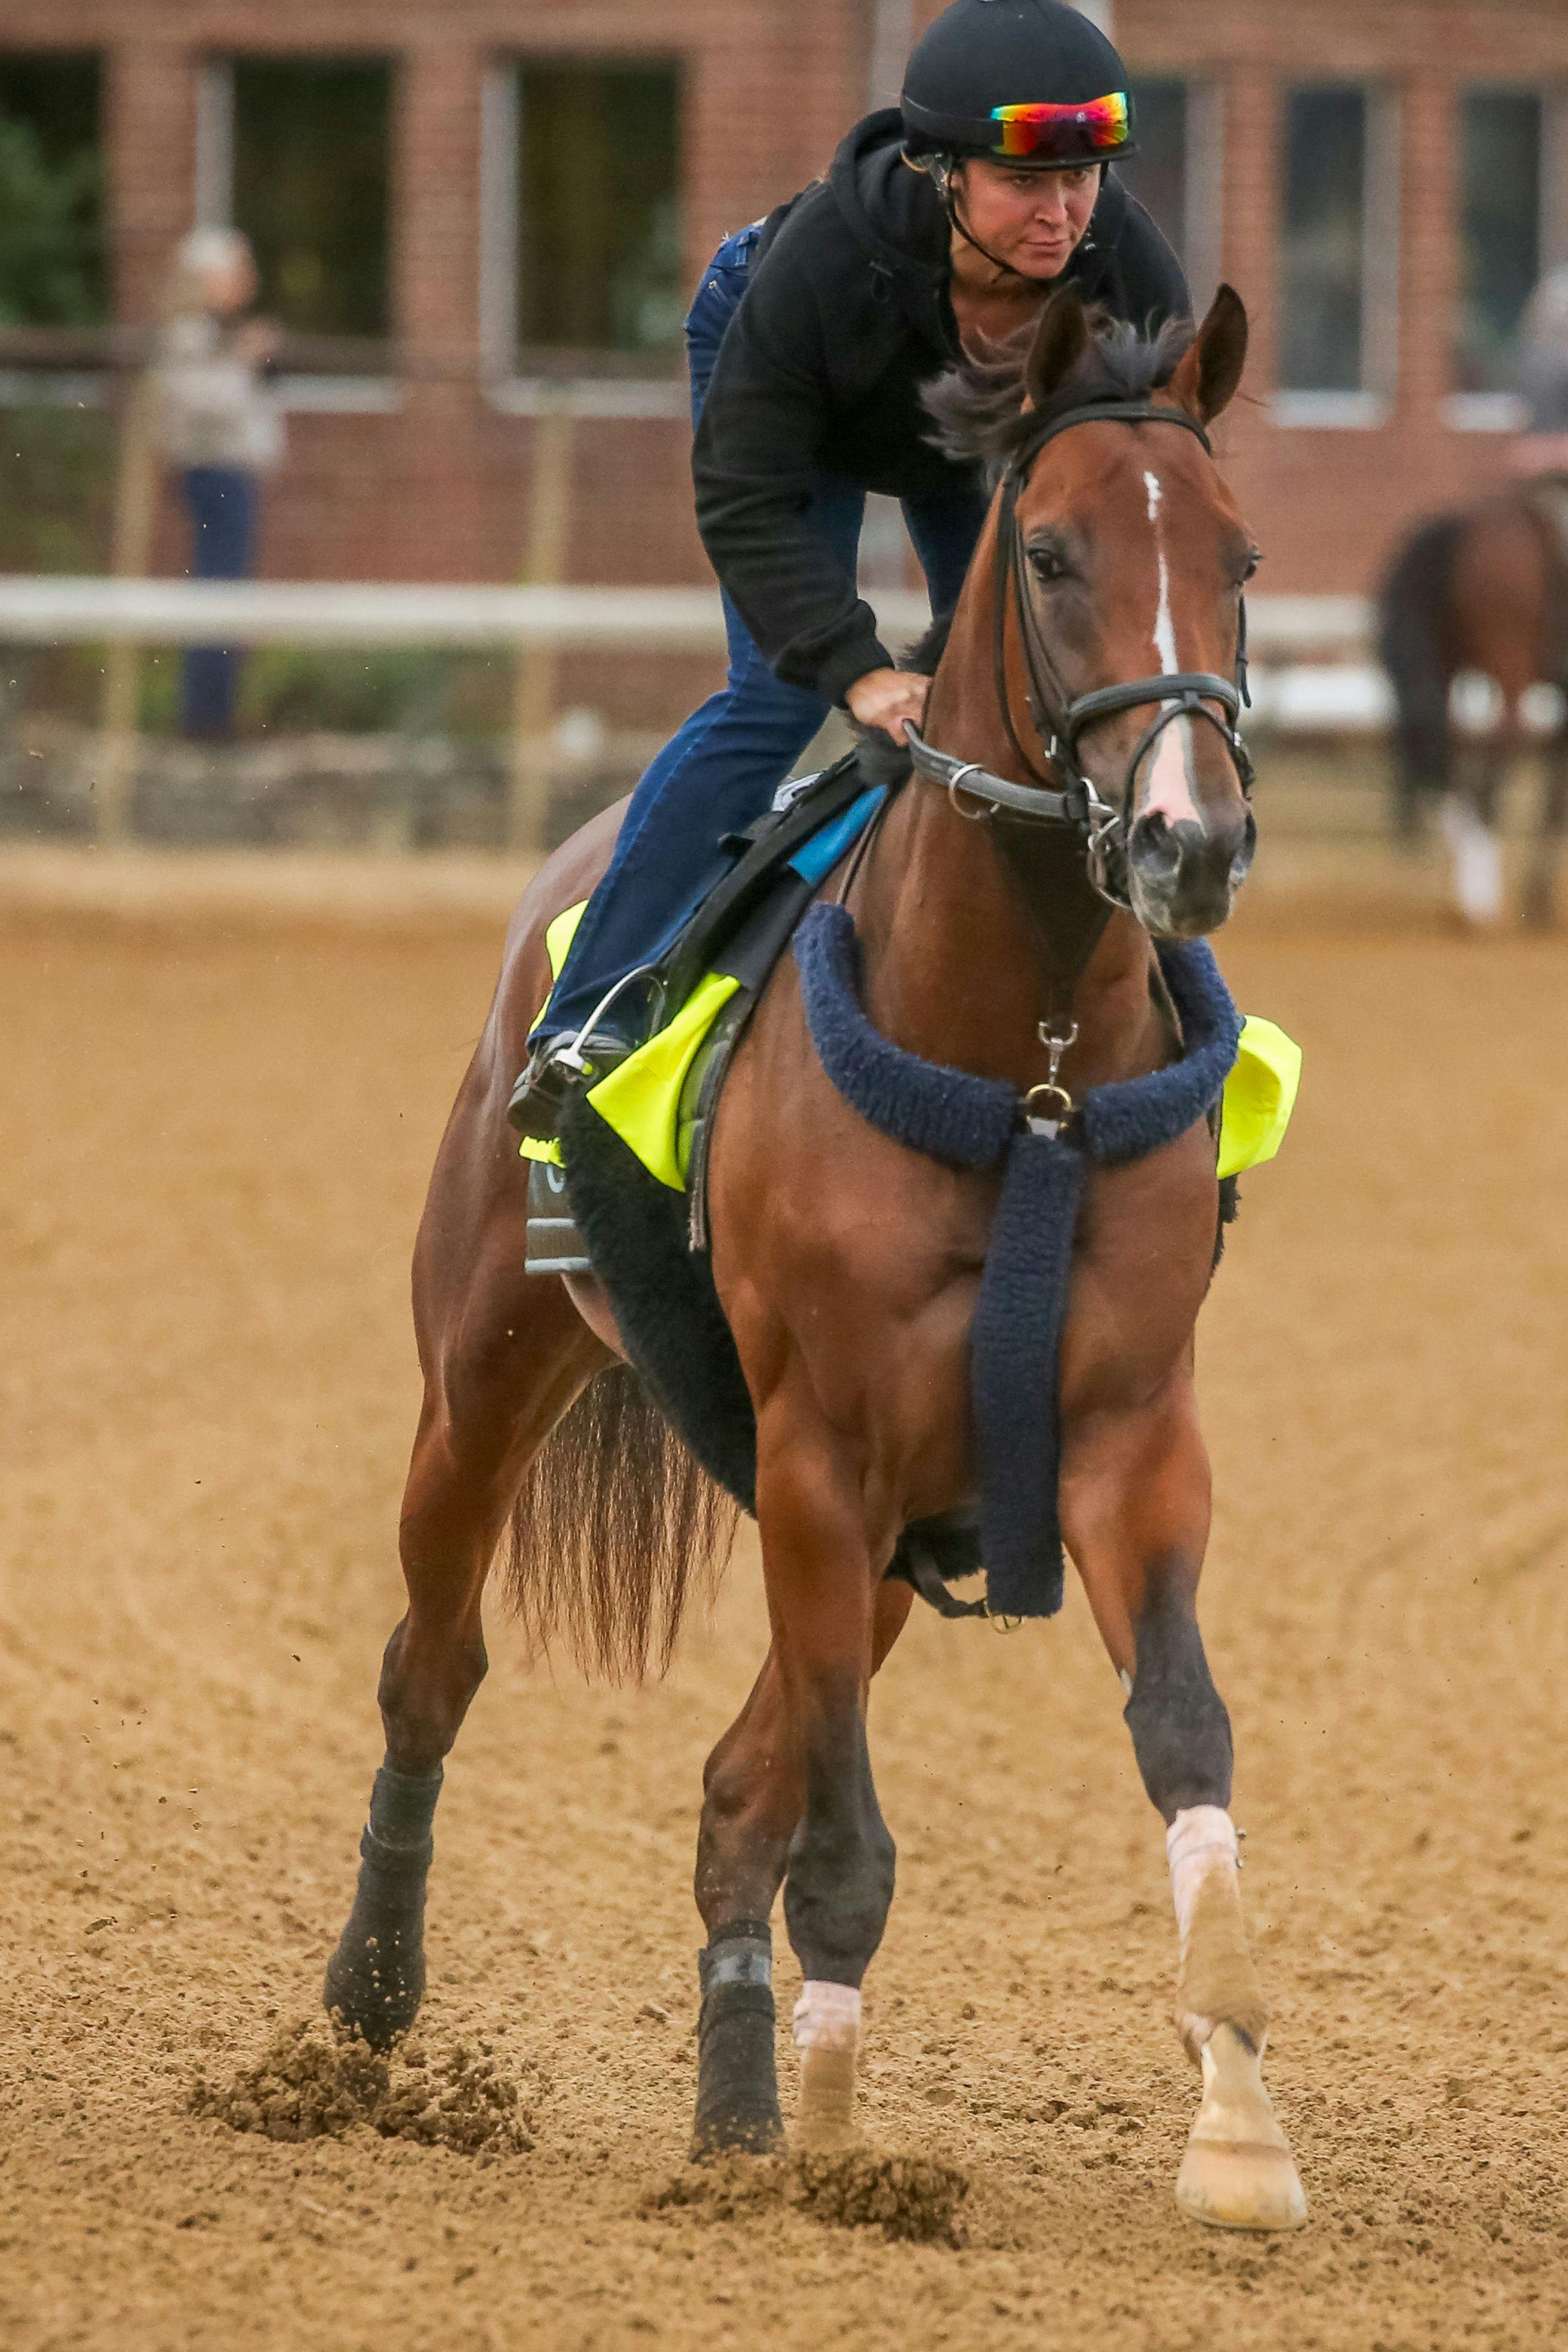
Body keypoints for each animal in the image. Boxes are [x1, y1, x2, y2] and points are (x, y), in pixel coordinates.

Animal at [319, 284, 1316, 2229]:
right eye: (1054, 552)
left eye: (1240, 556)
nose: (1192, 840)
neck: (1027, 1074)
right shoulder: (819, 1454)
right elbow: (846, 1842)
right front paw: (849, 2156)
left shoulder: (1123, 1441)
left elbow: (1185, 1735)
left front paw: (1236, 2125)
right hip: (487, 1377)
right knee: (434, 1667)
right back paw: (371, 2002)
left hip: (888, 1539)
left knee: (731, 1788)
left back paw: (729, 2110)